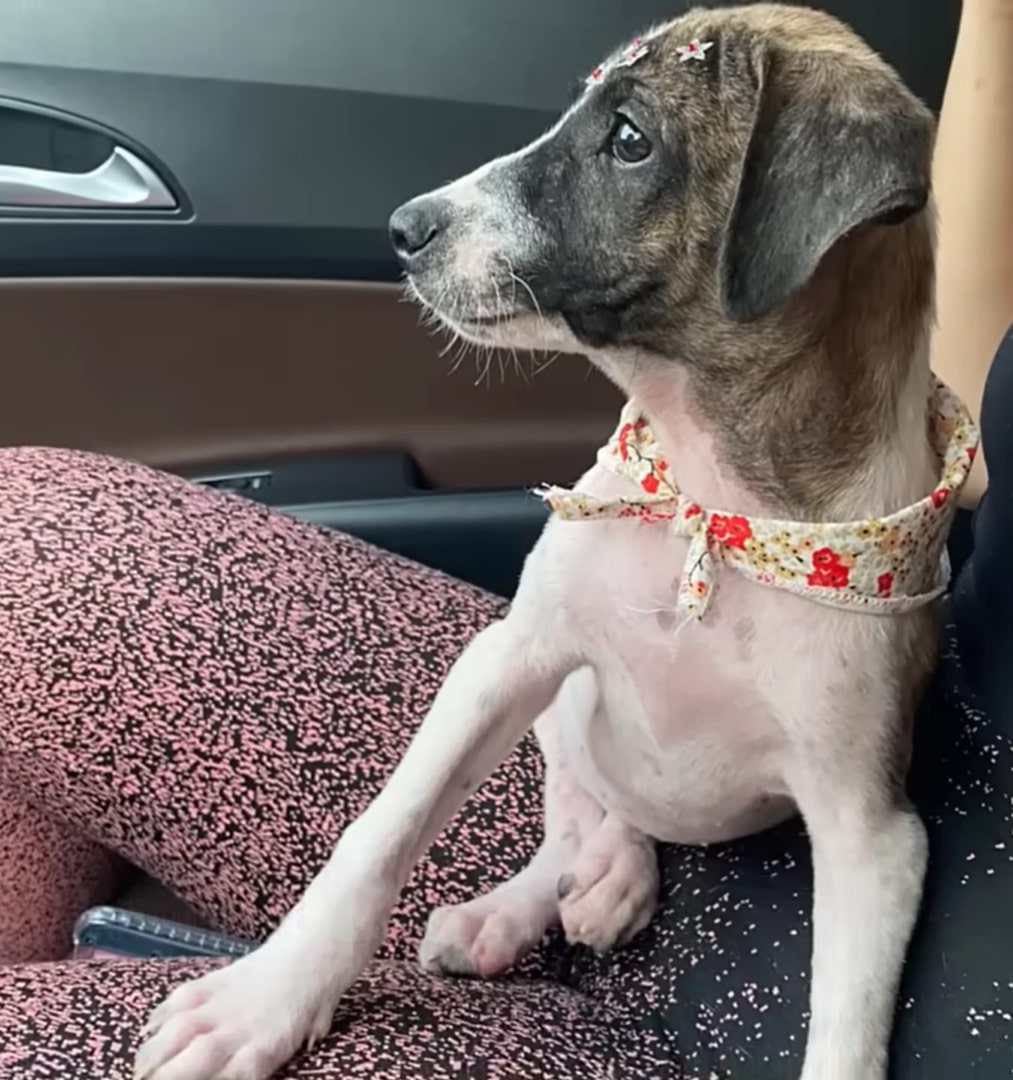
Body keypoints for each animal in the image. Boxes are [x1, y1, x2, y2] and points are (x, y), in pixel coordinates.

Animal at [130, 8, 976, 1080]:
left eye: (628, 139)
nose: (403, 229)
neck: (710, 510)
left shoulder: (871, 834)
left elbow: (845, 1035)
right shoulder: (510, 655)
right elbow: (376, 838)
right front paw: (261, 1001)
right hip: (545, 700)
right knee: (575, 801)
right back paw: (535, 899)